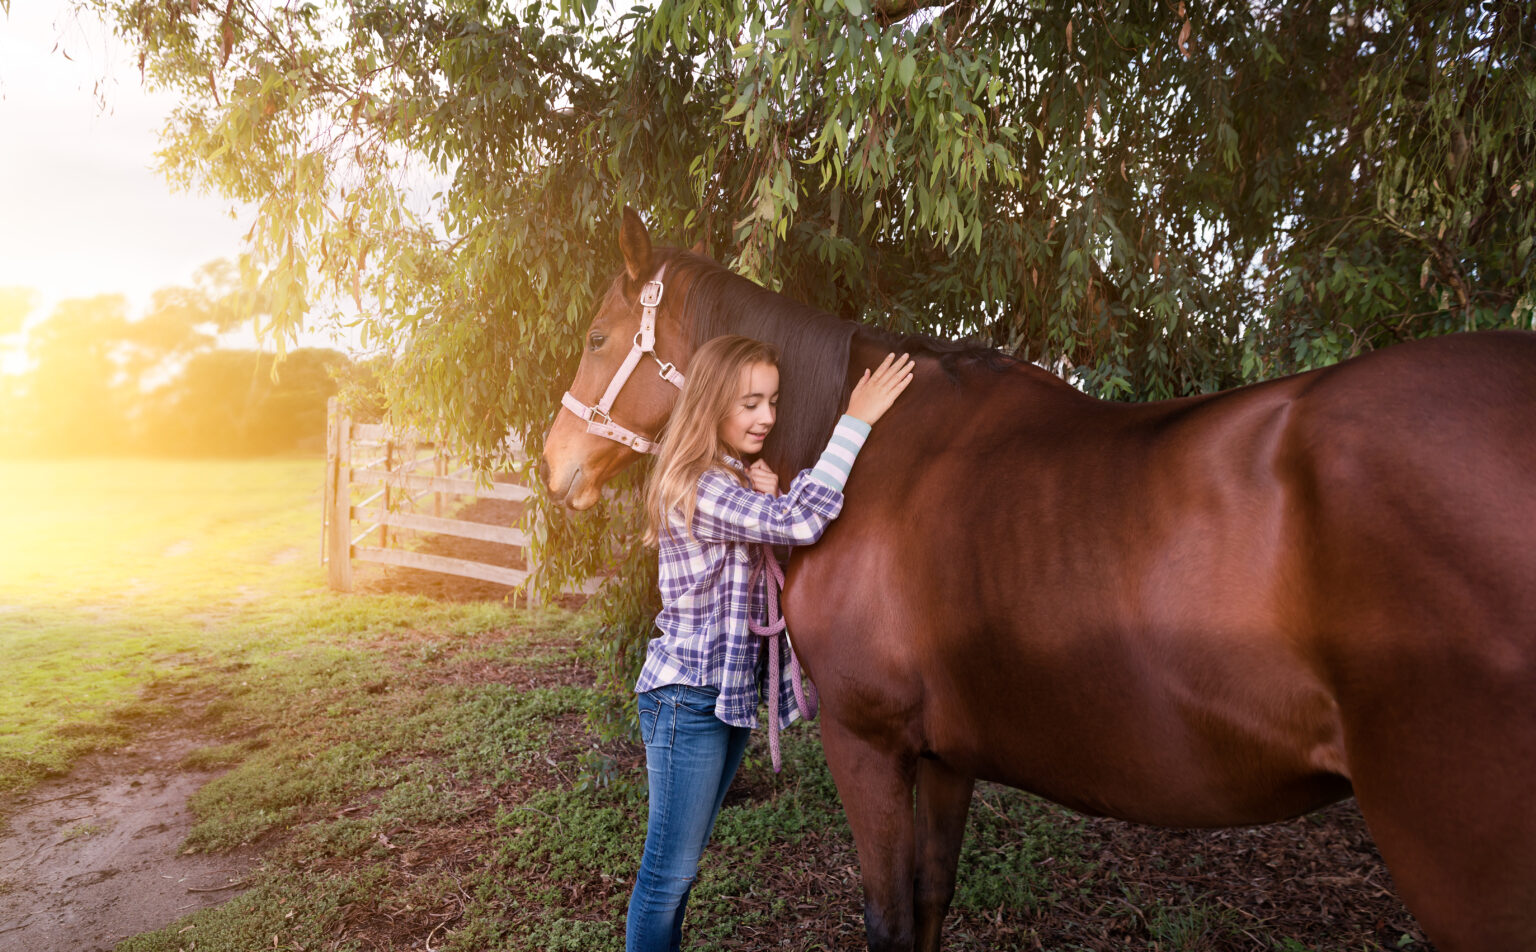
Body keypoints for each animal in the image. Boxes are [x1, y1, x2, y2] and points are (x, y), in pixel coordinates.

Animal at [540, 210, 1536, 952]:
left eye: (594, 336)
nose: (553, 466)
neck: (867, 458)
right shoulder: (945, 755)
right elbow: (931, 899)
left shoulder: (869, 744)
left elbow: (889, 917)